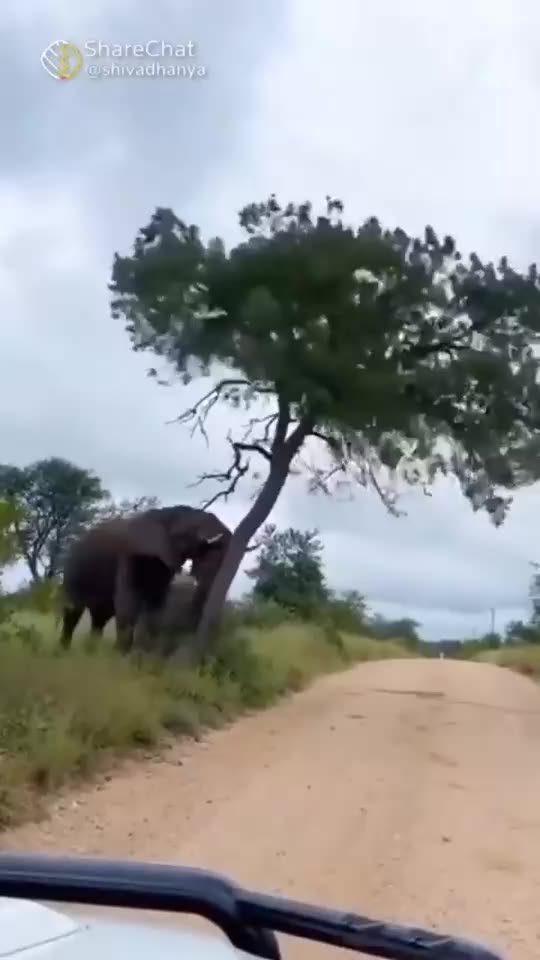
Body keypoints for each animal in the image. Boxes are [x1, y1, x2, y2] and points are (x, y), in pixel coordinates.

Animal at [59, 505, 231, 653]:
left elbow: (157, 605)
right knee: (72, 612)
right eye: (190, 530)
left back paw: (90, 652)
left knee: (99, 618)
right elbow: (128, 600)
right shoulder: (130, 553)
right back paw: (63, 652)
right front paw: (118, 657)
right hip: (73, 570)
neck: (165, 515)